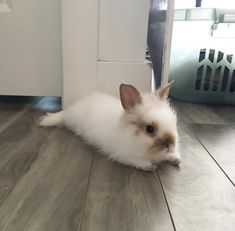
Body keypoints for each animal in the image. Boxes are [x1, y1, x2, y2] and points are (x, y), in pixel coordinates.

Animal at [39, 82, 181, 171]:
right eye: (149, 129)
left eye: (174, 122)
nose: (171, 144)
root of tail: (79, 104)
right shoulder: (122, 154)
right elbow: (135, 160)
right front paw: (148, 166)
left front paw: (176, 159)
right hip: (71, 117)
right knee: (62, 116)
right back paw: (47, 120)